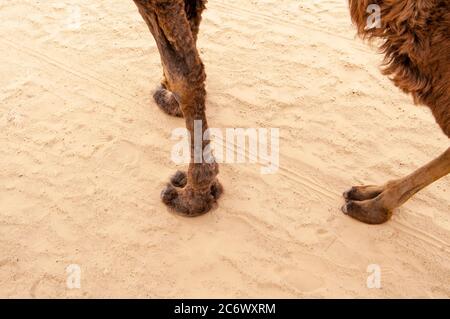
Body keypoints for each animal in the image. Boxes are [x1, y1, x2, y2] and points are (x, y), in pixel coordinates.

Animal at [134, 0, 450, 224]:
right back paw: (374, 198)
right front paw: (169, 97)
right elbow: (190, 29)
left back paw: (374, 204)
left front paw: (193, 196)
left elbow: (185, 71)